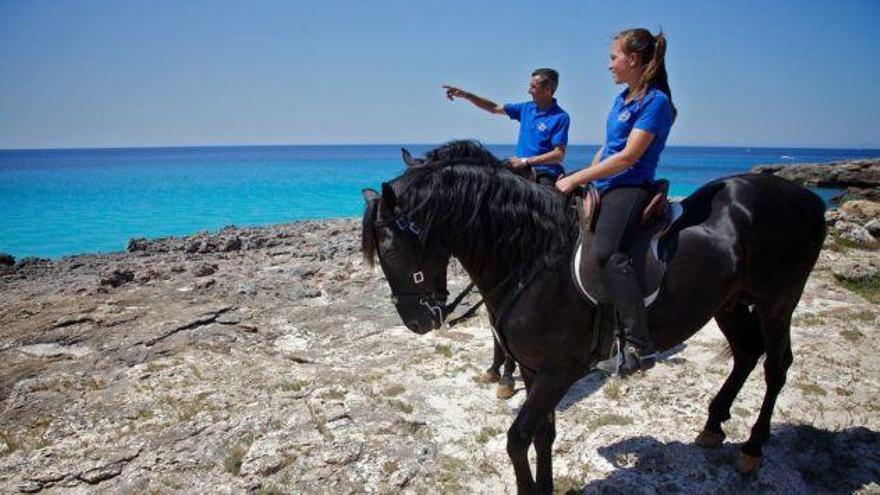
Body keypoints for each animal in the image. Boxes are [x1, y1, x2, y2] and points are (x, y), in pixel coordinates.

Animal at [360, 140, 828, 495]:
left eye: (392, 249)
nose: (416, 322)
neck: (535, 259)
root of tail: (807, 198)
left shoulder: (558, 372)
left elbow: (517, 439)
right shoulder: (536, 369)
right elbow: (542, 435)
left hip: (777, 303)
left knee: (775, 366)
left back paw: (753, 448)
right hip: (728, 303)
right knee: (747, 354)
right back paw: (713, 425)